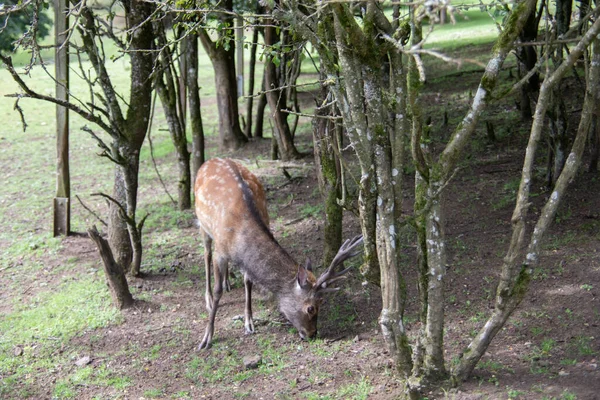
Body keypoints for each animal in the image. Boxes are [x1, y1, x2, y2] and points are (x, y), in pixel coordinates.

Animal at [195, 158, 364, 348]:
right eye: (311, 308)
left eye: (322, 303)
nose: (313, 333)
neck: (238, 231)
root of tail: (211, 160)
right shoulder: (221, 250)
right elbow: (218, 291)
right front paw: (207, 337)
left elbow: (248, 281)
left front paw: (249, 322)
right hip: (203, 226)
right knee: (206, 254)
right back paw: (208, 299)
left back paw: (228, 282)